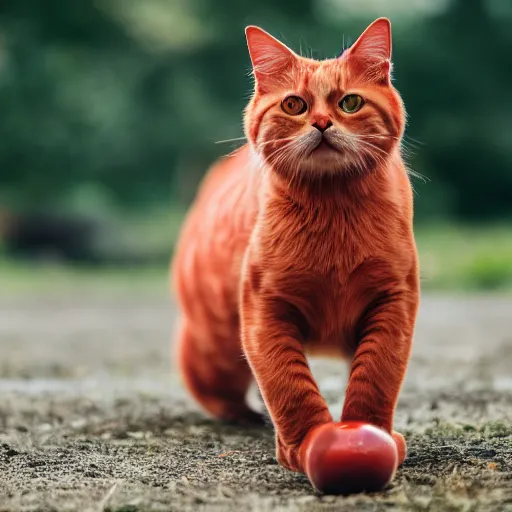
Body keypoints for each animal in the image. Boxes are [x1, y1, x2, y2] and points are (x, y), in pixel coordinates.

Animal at [172, 18, 420, 474]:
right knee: (209, 384)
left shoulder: (393, 302)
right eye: (294, 105)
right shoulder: (264, 310)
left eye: (350, 102)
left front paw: (371, 431)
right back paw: (242, 414)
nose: (321, 123)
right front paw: (304, 442)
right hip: (216, 347)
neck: (334, 212)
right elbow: (289, 386)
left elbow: (376, 376)